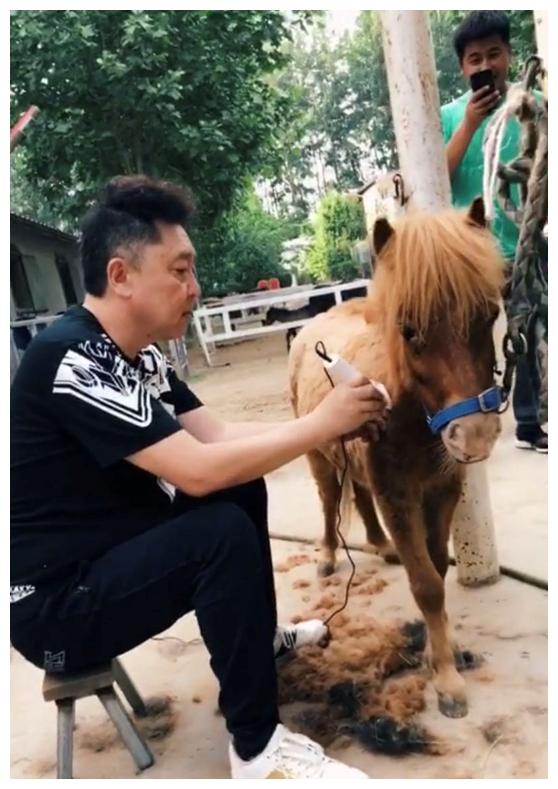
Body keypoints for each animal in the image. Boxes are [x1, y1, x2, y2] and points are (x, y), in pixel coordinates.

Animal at [288, 198, 505, 719]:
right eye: (408, 330)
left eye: (489, 315)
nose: (474, 436)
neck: (409, 413)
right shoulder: (399, 498)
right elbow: (424, 583)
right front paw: (446, 680)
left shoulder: (443, 490)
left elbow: (438, 568)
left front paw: (439, 653)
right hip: (318, 457)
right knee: (330, 503)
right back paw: (328, 556)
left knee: (358, 496)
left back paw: (379, 545)